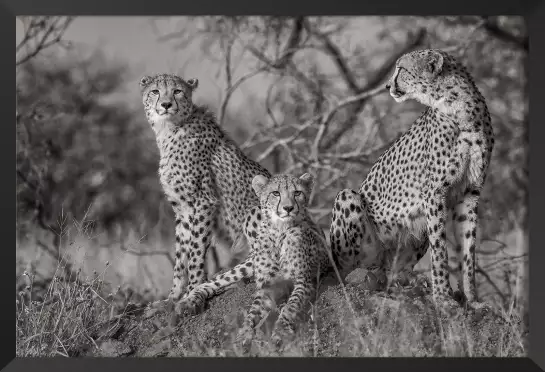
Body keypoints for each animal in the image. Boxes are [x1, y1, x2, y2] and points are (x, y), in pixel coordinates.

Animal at [138, 73, 270, 302]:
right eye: (155, 91)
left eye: (177, 91)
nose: (166, 104)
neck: (169, 129)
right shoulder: (182, 210)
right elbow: (181, 255)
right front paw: (172, 297)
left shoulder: (203, 202)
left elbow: (196, 251)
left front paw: (192, 290)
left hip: (256, 211)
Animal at [178, 173, 332, 348]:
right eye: (276, 193)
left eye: (297, 193)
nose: (288, 208)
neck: (279, 231)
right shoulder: (266, 286)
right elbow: (253, 312)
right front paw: (245, 333)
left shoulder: (304, 280)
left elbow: (291, 305)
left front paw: (280, 330)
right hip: (247, 265)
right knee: (216, 280)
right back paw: (190, 300)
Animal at [328, 48, 492, 306]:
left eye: (401, 69)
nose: (387, 86)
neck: (460, 108)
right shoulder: (434, 193)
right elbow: (440, 250)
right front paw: (443, 297)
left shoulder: (470, 192)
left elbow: (468, 249)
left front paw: (472, 299)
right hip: (348, 200)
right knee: (345, 272)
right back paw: (359, 277)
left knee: (389, 275)